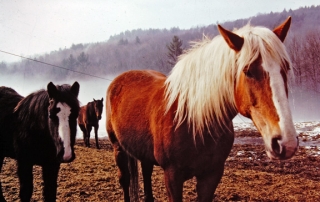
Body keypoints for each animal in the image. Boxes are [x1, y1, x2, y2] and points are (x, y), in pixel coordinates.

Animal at [106, 17, 298, 202]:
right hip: (118, 148)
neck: (194, 121)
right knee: (125, 180)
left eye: (285, 68)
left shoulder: (211, 175)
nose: (286, 142)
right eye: (248, 71)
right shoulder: (172, 177)